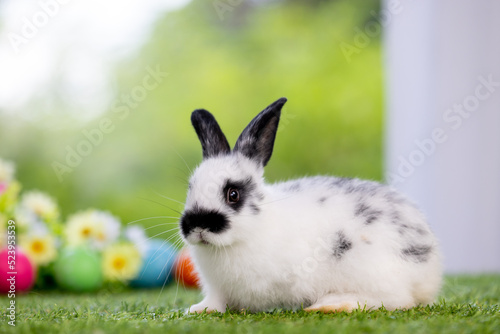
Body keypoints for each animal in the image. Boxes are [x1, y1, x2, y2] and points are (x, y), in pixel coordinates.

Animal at [180, 97, 442, 314]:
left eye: (233, 194)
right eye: (190, 187)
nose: (198, 225)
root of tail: (431, 267)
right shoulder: (218, 290)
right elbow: (216, 302)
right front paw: (199, 310)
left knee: (397, 299)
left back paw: (330, 305)